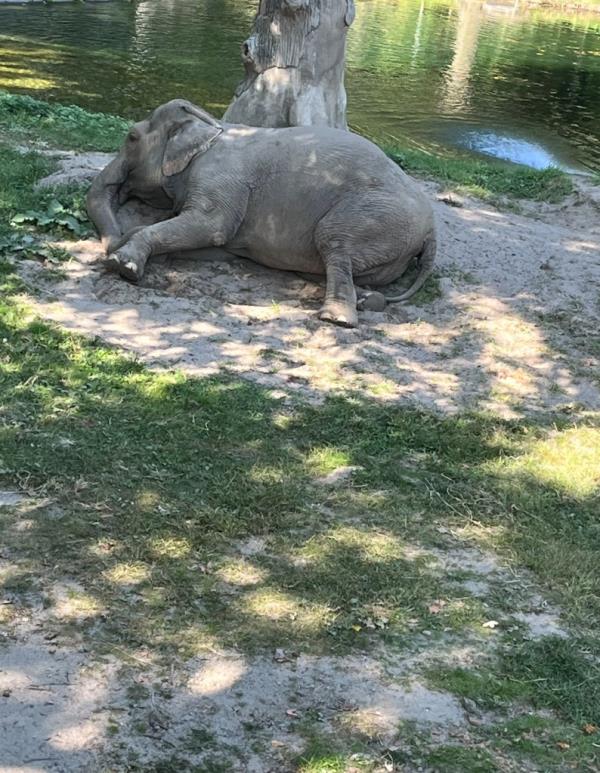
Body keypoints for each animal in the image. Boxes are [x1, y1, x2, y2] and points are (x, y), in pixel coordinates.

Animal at [86, 97, 436, 326]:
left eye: (131, 137)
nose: (109, 245)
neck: (211, 125)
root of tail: (431, 229)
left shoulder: (221, 180)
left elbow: (210, 226)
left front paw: (122, 264)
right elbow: (213, 243)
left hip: (375, 215)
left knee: (333, 241)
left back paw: (335, 319)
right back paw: (367, 300)